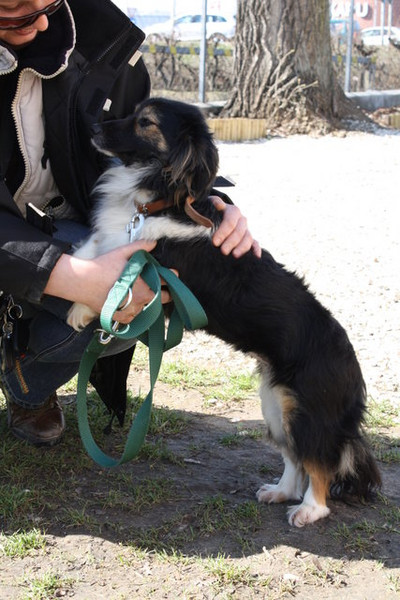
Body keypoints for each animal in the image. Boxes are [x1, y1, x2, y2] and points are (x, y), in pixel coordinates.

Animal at [67, 97, 382, 524]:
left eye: (146, 122)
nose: (94, 128)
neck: (162, 201)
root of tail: (350, 362)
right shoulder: (122, 237)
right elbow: (93, 248)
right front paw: (76, 288)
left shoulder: (155, 265)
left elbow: (115, 271)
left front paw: (83, 306)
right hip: (276, 404)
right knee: (295, 459)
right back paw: (281, 491)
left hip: (308, 411)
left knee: (317, 463)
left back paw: (309, 509)